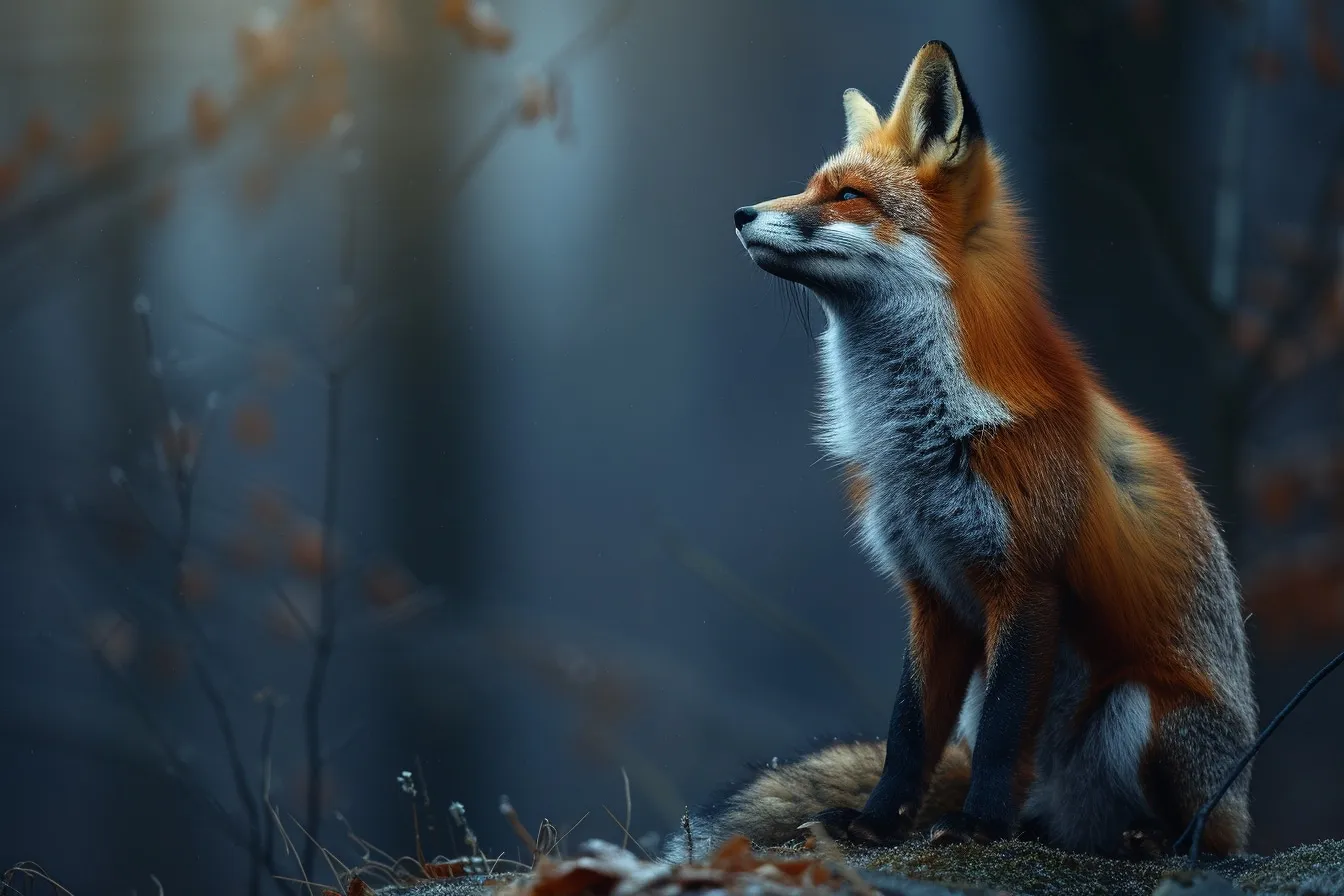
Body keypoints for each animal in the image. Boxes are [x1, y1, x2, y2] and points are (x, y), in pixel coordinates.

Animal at [666, 40, 1258, 862]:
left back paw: (1151, 841)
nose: (741, 213)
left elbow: (1006, 734)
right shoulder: (930, 590)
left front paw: (977, 826)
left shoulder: (1027, 579)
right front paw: (879, 824)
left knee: (1206, 838)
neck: (922, 443)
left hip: (1143, 711)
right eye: (813, 186)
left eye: (848, 195)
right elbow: (908, 733)